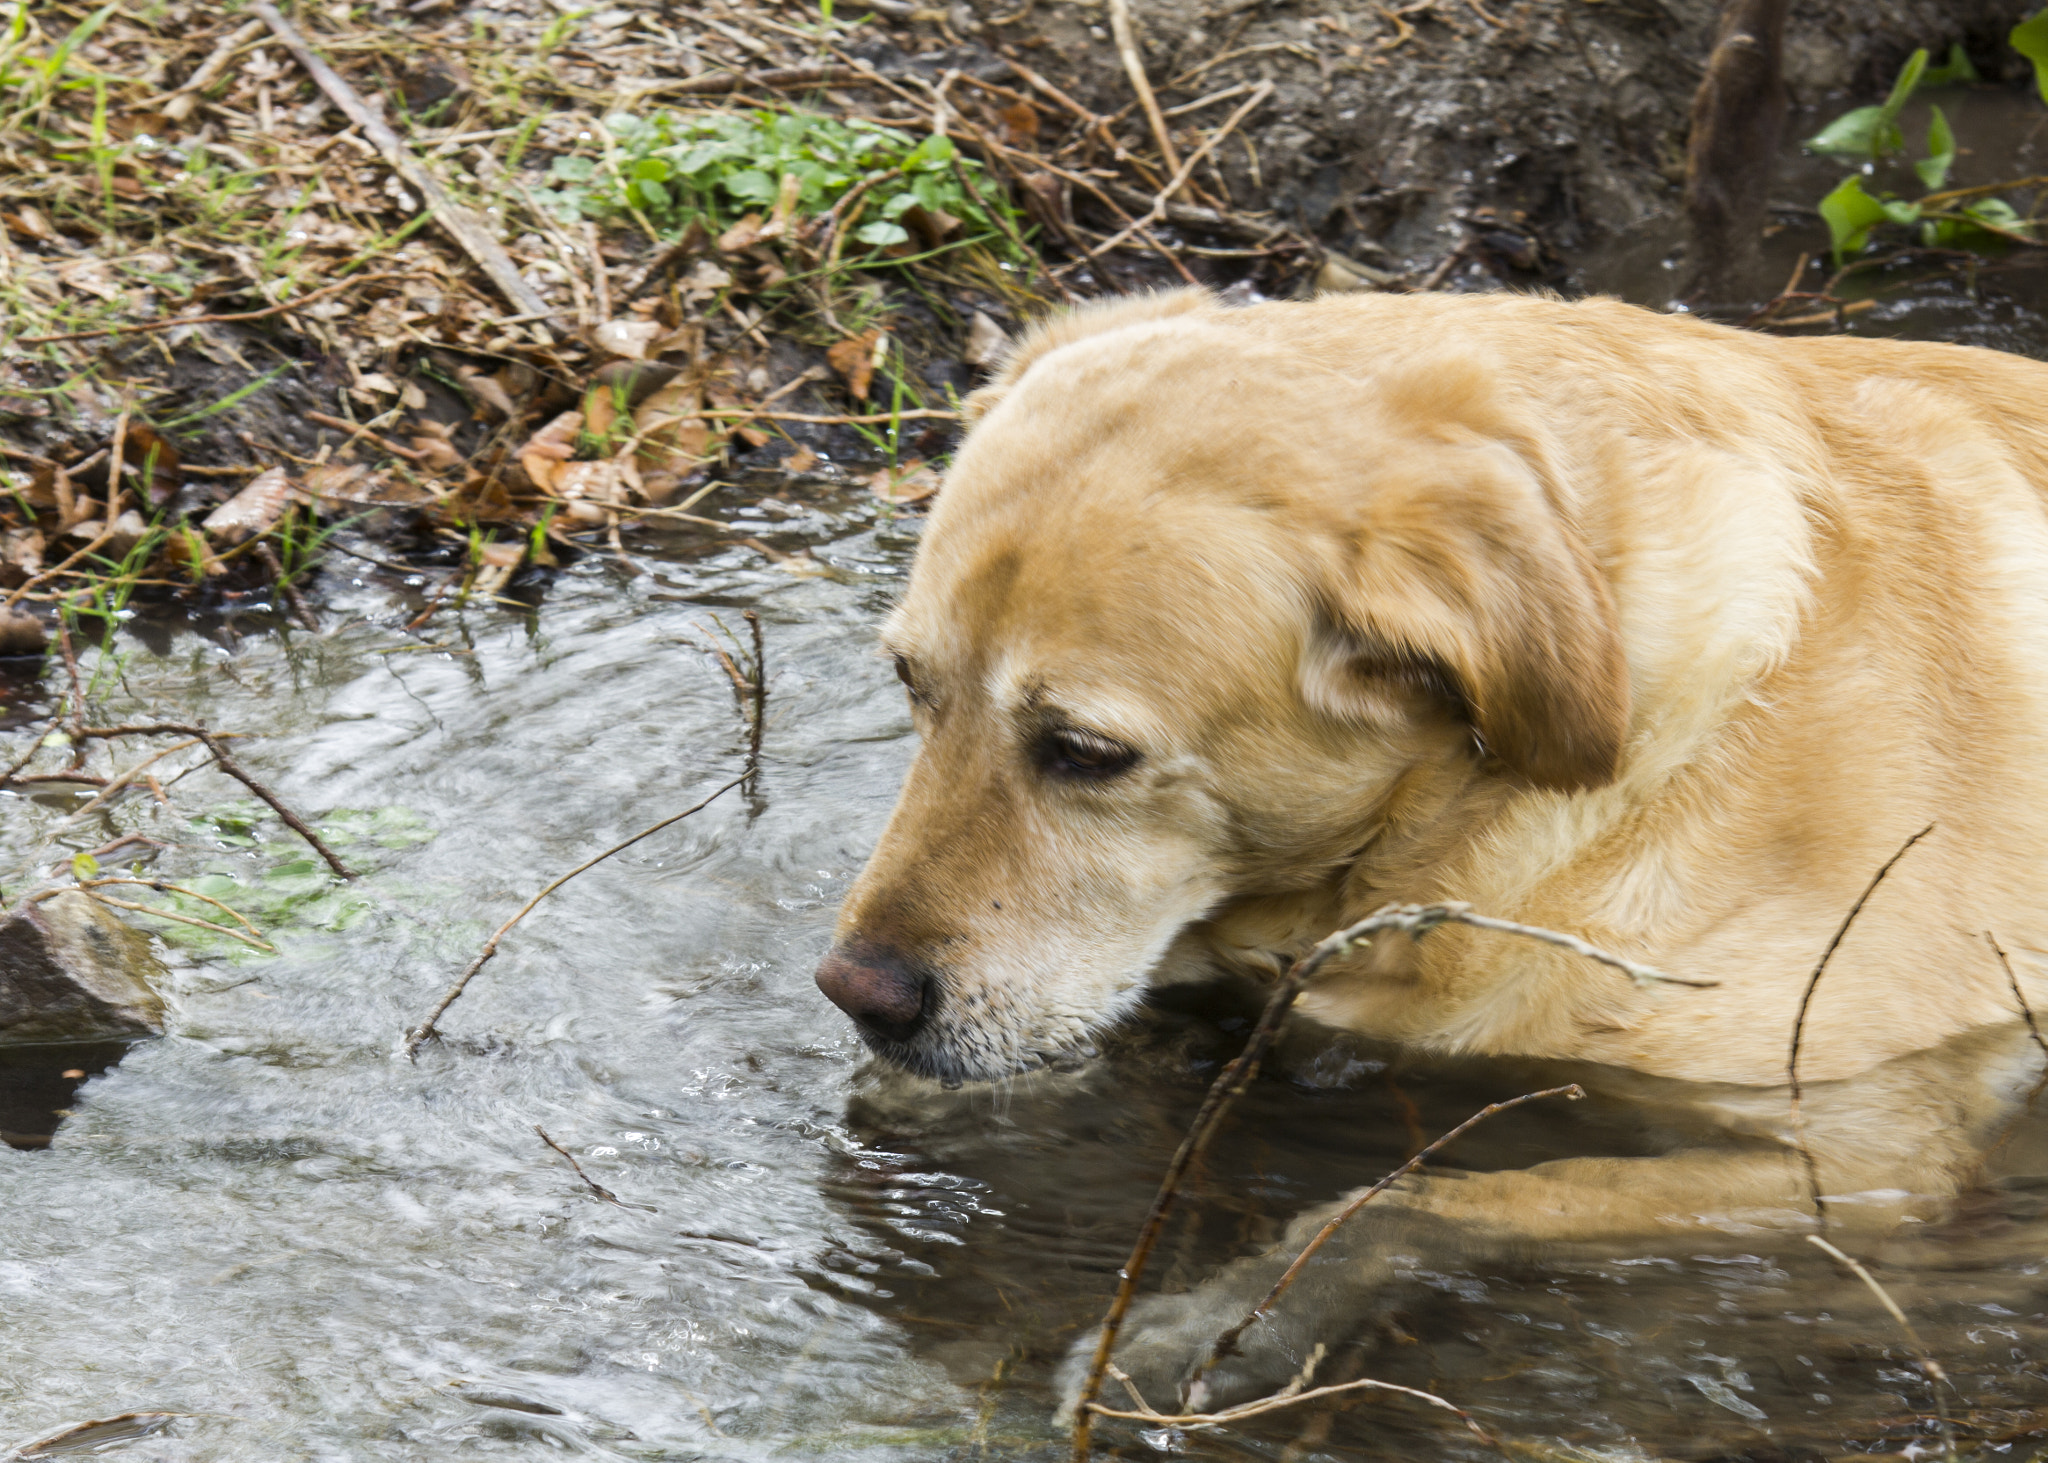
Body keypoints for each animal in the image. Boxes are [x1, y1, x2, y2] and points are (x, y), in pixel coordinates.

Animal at [811, 286, 2048, 1409]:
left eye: (1083, 750)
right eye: (909, 681)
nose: (855, 993)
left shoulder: (1869, 1158)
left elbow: (1418, 1197)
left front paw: (1226, 1321)